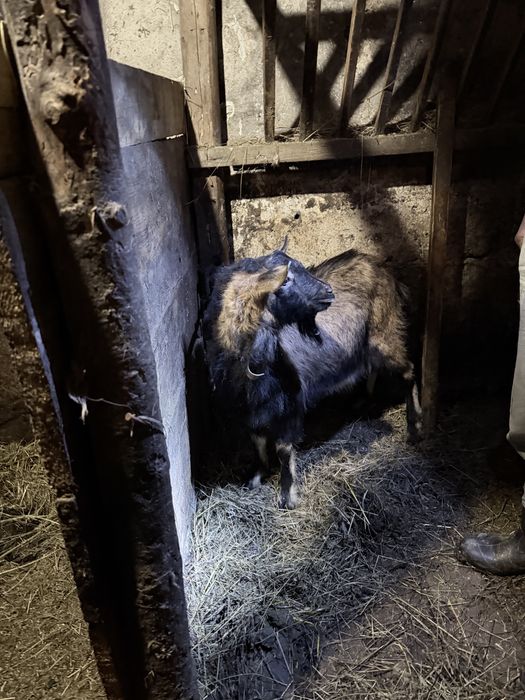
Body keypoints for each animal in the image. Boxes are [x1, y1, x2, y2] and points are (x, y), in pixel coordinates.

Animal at [204, 248, 422, 509]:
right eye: (285, 280)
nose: (328, 291)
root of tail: (383, 269)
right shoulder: (251, 409)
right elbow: (258, 443)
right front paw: (257, 477)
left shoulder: (288, 403)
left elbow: (283, 448)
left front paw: (287, 497)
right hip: (368, 343)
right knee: (373, 367)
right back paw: (365, 401)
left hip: (385, 334)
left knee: (409, 370)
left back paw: (415, 427)